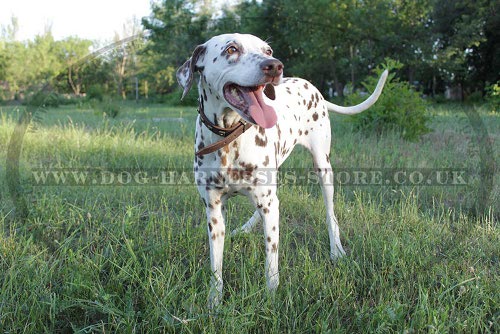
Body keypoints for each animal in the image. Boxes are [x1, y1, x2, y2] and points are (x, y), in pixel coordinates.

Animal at [178, 34, 388, 308]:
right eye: (231, 49)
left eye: (268, 50)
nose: (274, 65)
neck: (229, 139)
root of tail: (314, 88)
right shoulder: (213, 209)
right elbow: (216, 264)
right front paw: (214, 301)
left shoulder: (268, 205)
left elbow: (271, 259)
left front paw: (271, 296)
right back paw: (245, 228)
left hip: (323, 168)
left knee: (330, 214)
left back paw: (337, 250)